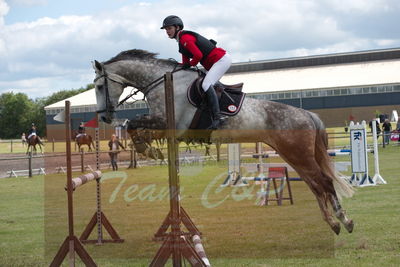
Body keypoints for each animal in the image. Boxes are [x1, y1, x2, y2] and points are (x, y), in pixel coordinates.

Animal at [93, 49, 354, 236]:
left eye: (99, 86)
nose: (104, 117)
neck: (161, 81)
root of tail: (307, 114)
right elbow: (134, 126)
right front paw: (147, 150)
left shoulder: (167, 121)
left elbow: (132, 123)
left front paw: (146, 149)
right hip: (293, 154)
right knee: (315, 185)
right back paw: (333, 223)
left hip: (298, 153)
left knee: (324, 182)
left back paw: (345, 220)